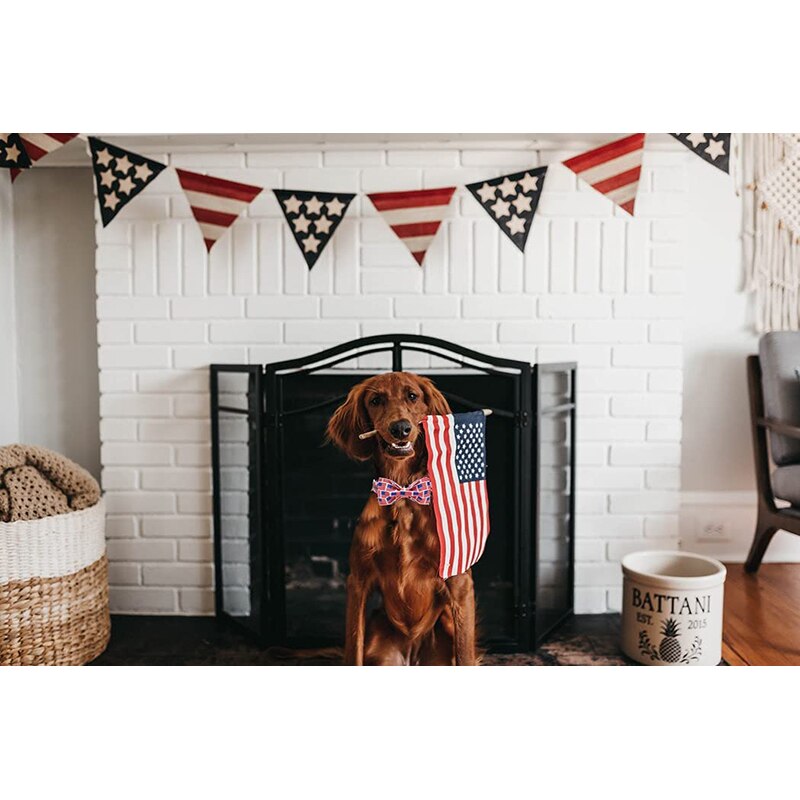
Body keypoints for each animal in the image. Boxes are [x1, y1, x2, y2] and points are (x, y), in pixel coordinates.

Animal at [328, 372, 478, 664]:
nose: (400, 428)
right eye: (376, 400)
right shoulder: (358, 581)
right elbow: (353, 650)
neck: (403, 493)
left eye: (412, 396)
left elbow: (466, 654)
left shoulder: (459, 582)